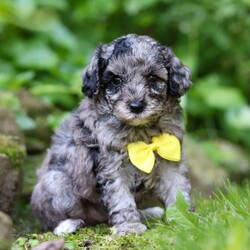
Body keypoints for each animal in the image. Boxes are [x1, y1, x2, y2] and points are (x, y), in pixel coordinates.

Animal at [30, 34, 192, 235]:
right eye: (116, 80)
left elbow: (178, 189)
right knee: (52, 220)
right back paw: (67, 225)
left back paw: (148, 212)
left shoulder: (170, 157)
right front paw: (129, 227)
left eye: (152, 78)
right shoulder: (112, 166)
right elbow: (121, 199)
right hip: (57, 183)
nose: (136, 106)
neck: (141, 130)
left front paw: (188, 220)